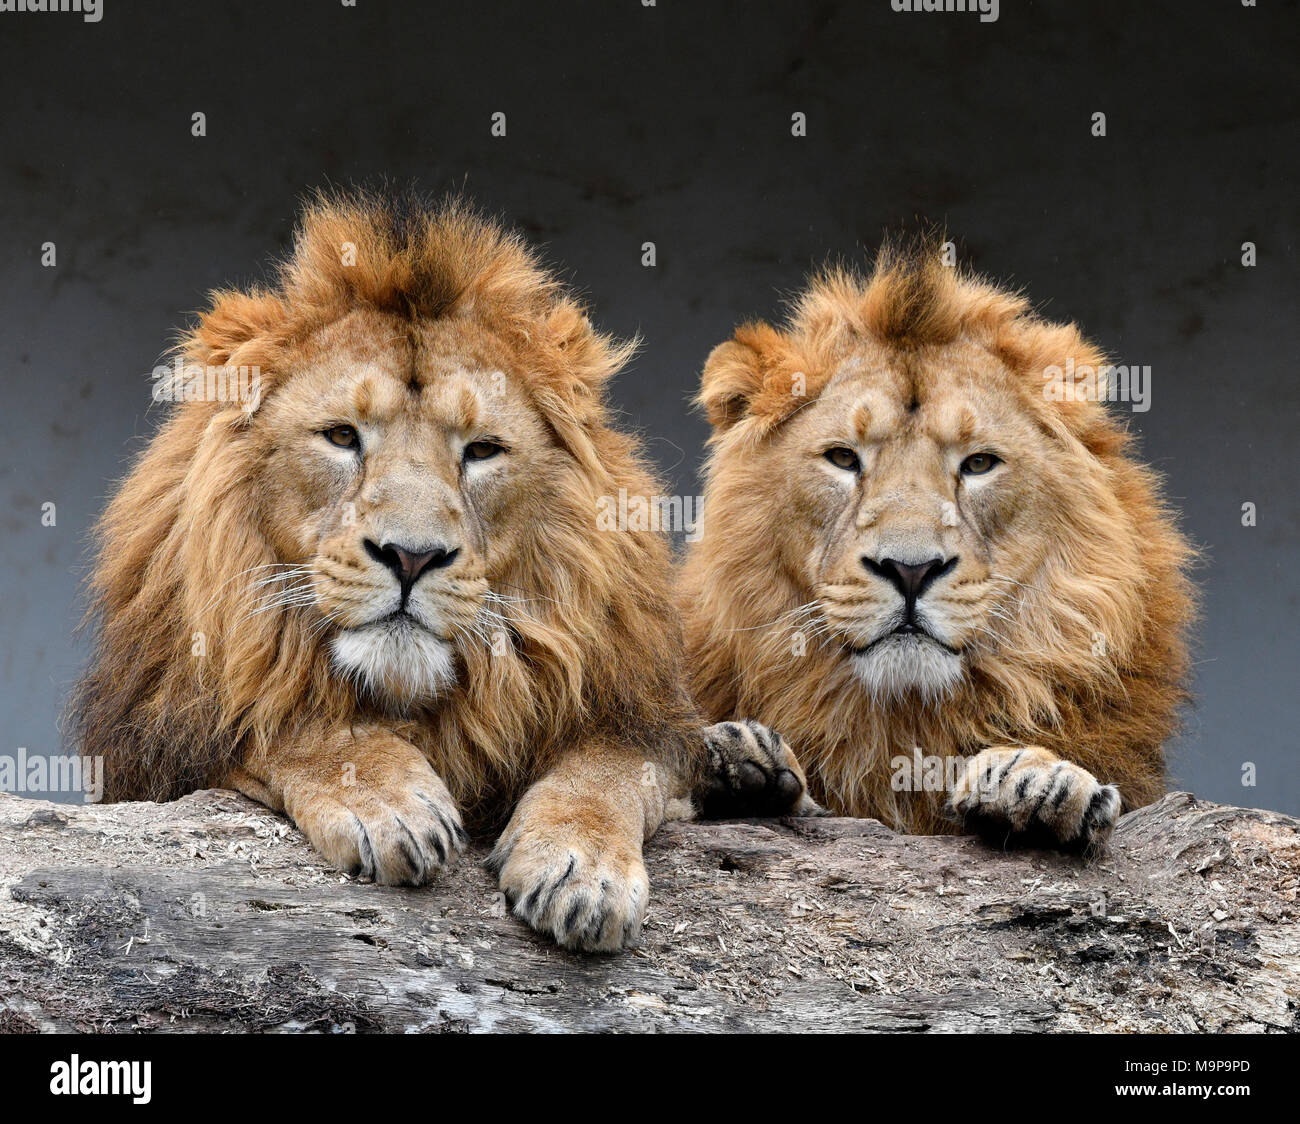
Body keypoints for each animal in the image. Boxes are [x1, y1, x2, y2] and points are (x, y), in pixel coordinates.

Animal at [71, 191, 806, 945]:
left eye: (481, 450)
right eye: (342, 436)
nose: (412, 556)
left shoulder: (626, 709)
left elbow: (613, 770)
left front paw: (583, 868)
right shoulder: (154, 743)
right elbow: (283, 715)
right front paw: (384, 798)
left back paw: (748, 760)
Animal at [681, 241, 1196, 847]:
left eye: (978, 464)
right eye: (843, 457)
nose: (910, 570)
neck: (907, 726)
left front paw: (1038, 780)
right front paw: (739, 762)